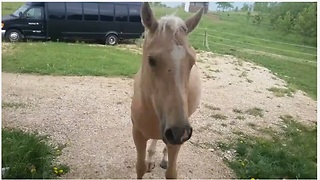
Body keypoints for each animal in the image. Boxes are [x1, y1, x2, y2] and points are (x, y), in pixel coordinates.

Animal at [131, 2, 204, 179]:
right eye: (151, 60)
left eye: (192, 61)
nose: (178, 131)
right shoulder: (137, 134)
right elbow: (140, 167)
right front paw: (147, 162)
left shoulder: (175, 141)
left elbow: (171, 173)